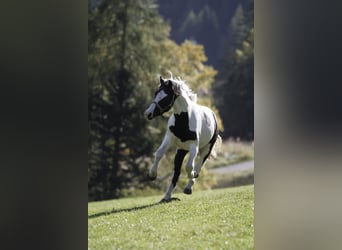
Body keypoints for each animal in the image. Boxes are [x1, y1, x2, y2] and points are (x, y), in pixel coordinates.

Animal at [144, 73, 222, 202]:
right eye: (156, 93)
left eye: (166, 97)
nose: (148, 114)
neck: (183, 120)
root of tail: (212, 114)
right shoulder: (169, 139)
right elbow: (159, 153)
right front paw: (152, 175)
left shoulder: (194, 146)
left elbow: (190, 167)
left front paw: (192, 176)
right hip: (181, 150)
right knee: (176, 172)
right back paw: (167, 196)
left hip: (206, 149)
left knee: (199, 165)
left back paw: (188, 187)